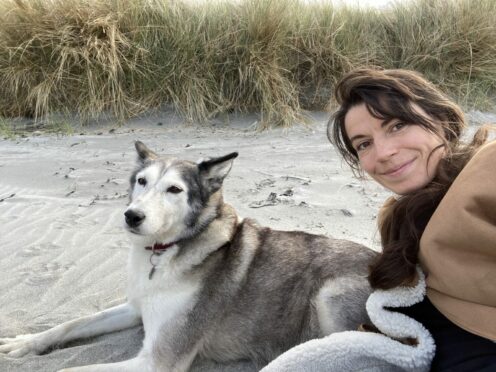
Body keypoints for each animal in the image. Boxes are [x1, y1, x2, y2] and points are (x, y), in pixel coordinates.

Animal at [0, 141, 376, 370]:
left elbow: (71, 369)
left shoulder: (157, 360)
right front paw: (23, 343)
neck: (164, 252)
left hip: (329, 294)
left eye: (174, 190)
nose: (131, 216)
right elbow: (70, 325)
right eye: (141, 181)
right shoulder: (135, 309)